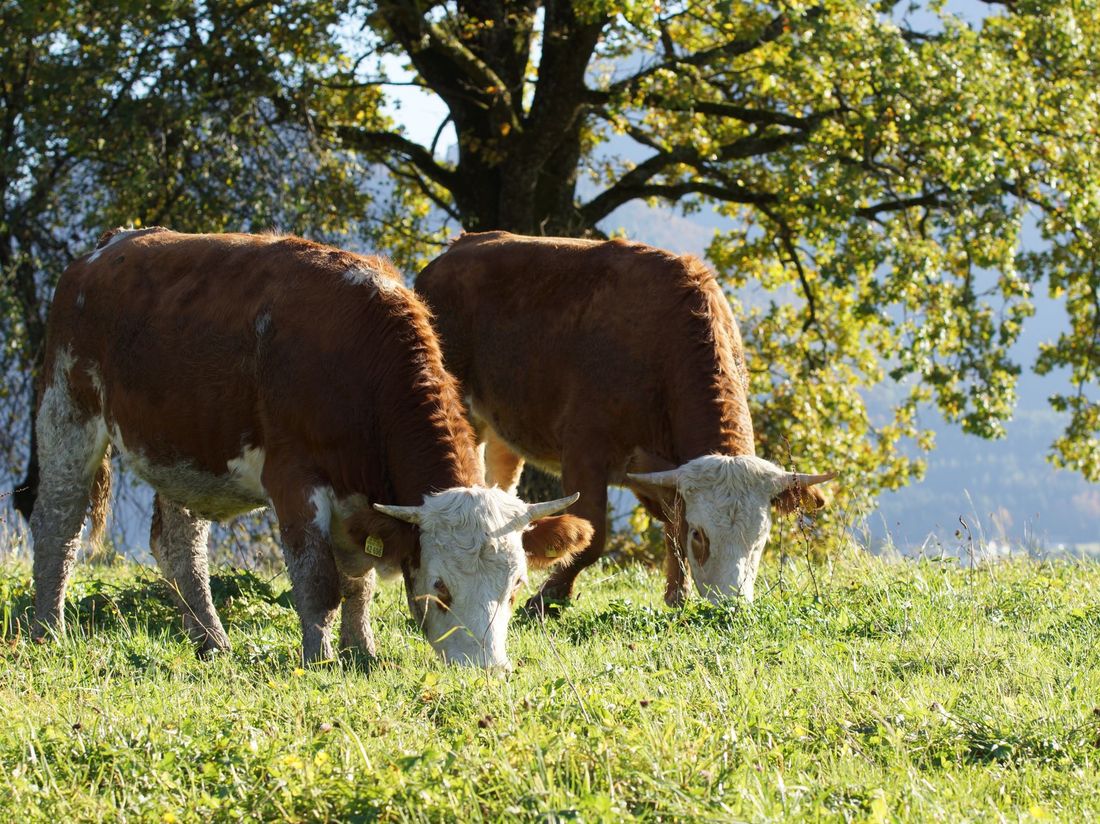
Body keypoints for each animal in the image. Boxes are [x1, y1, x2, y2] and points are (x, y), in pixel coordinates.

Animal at [19, 228, 593, 667]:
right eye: (439, 587)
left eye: (515, 585)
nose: (487, 670)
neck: (359, 361)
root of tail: (106, 248)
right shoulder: (294, 477)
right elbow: (319, 583)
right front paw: (318, 660)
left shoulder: (362, 501)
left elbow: (359, 582)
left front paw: (362, 652)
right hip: (67, 412)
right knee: (58, 526)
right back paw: (49, 632)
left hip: (183, 451)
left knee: (178, 545)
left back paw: (213, 643)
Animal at [415, 231, 836, 615]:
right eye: (701, 536)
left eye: (760, 539)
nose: (729, 606)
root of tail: (457, 247)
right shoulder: (584, 449)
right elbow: (593, 535)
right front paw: (547, 598)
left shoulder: (663, 472)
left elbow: (671, 529)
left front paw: (677, 597)